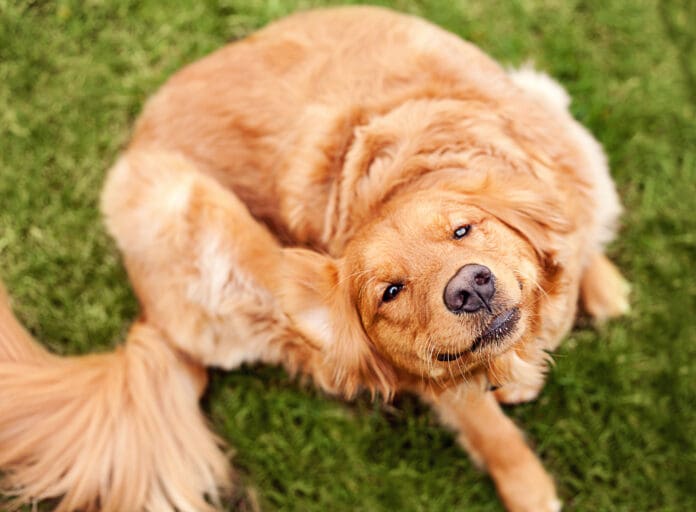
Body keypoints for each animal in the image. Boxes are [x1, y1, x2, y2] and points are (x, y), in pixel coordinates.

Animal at [1, 5, 632, 512]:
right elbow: (487, 427)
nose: (470, 287)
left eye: (462, 230)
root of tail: (147, 313)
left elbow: (578, 241)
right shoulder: (428, 368)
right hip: (193, 210)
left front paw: (596, 282)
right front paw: (529, 487)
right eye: (390, 291)